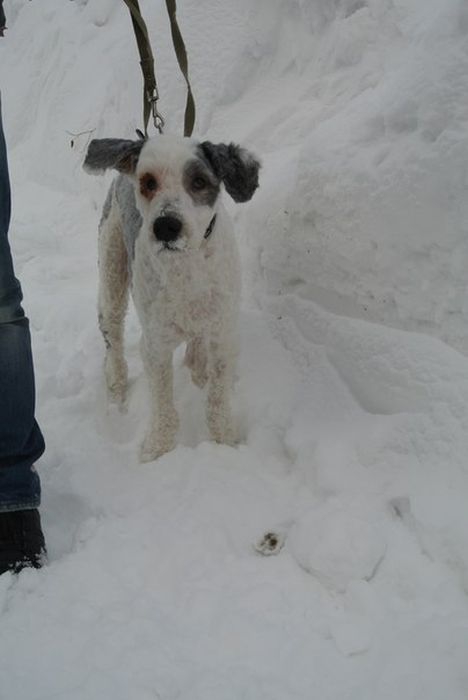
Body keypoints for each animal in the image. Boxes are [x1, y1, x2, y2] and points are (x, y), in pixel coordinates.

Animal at [83, 134, 260, 462]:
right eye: (148, 182)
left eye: (199, 181)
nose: (166, 226)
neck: (185, 265)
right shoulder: (156, 342)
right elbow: (163, 401)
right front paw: (158, 449)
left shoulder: (223, 335)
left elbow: (217, 398)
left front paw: (224, 442)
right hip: (112, 267)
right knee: (112, 334)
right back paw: (116, 388)